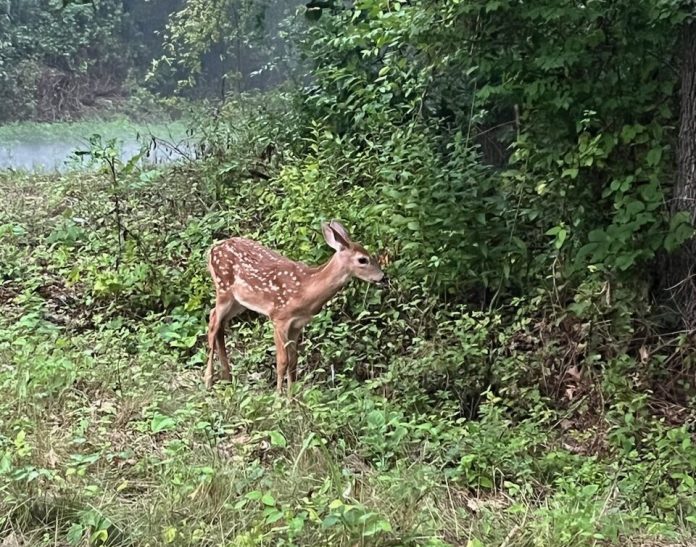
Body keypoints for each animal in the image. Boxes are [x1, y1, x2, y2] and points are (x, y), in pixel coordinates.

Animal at [205, 220, 387, 392]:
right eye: (362, 259)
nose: (382, 277)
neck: (305, 289)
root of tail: (213, 248)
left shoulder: (297, 324)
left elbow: (293, 362)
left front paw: (292, 398)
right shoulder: (278, 318)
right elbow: (282, 361)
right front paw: (278, 397)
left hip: (239, 301)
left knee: (220, 323)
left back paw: (227, 378)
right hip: (223, 288)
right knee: (213, 322)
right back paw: (208, 381)